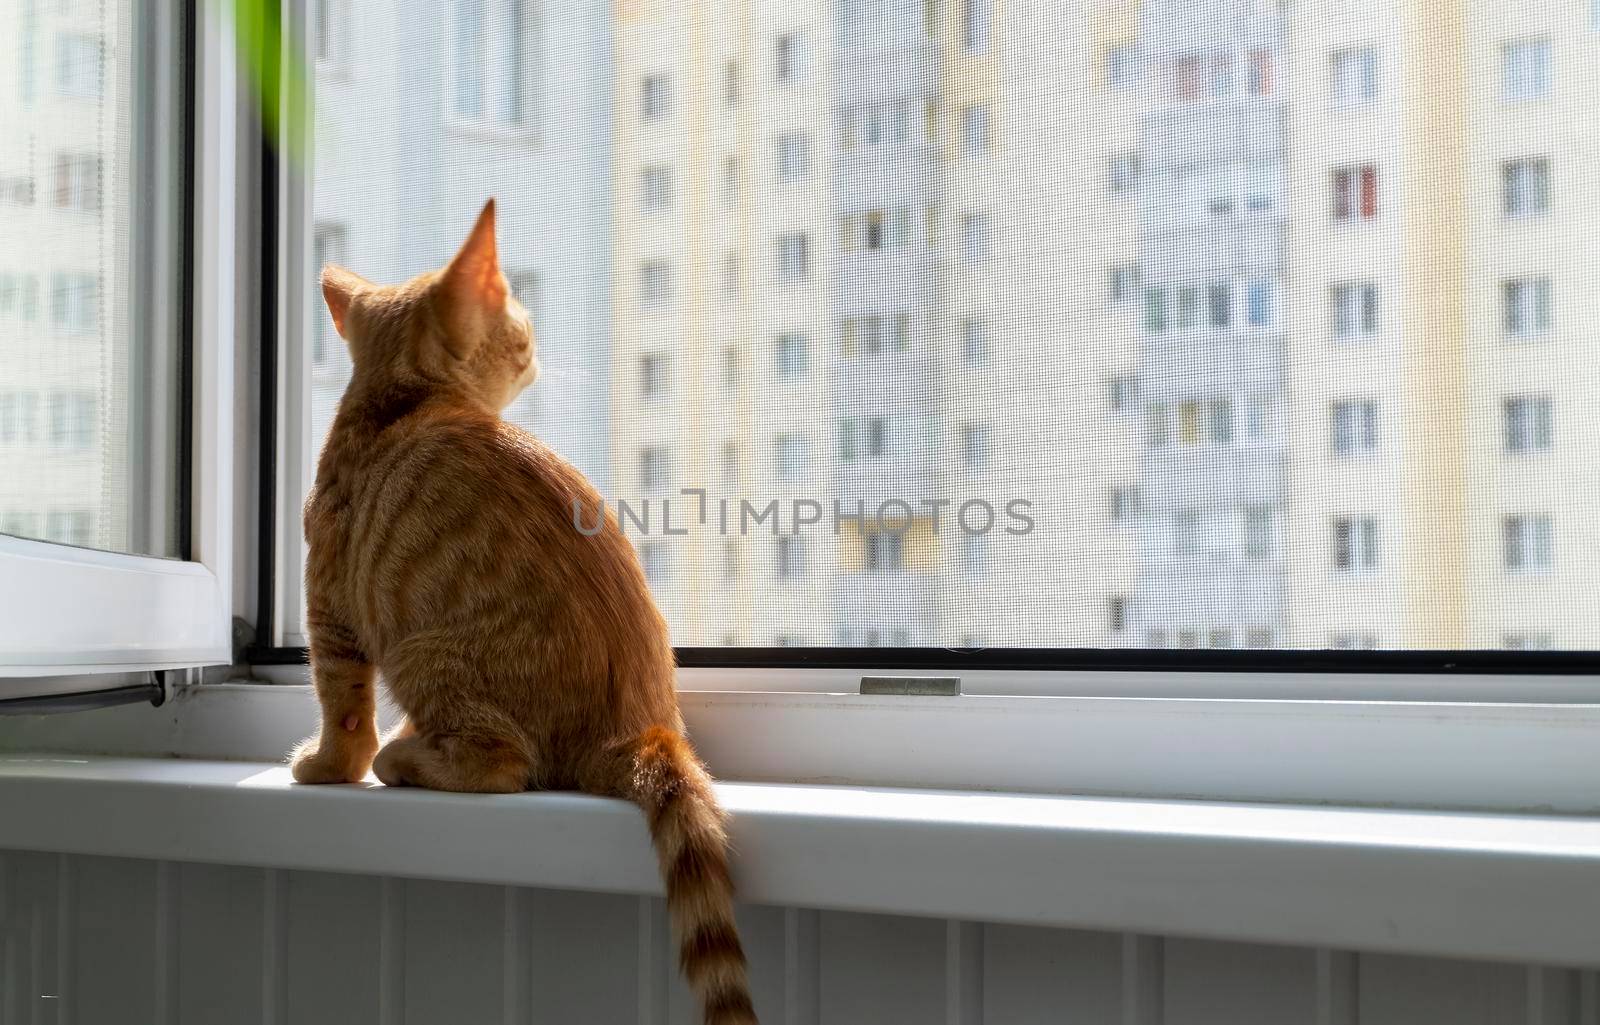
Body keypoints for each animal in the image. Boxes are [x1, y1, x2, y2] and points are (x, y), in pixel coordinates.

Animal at [292, 199, 755, 1023]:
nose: (536, 346)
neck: (395, 402)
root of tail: (645, 725)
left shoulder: (330, 610)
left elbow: (342, 708)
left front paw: (327, 768)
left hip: (421, 654)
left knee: (502, 765)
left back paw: (402, 757)